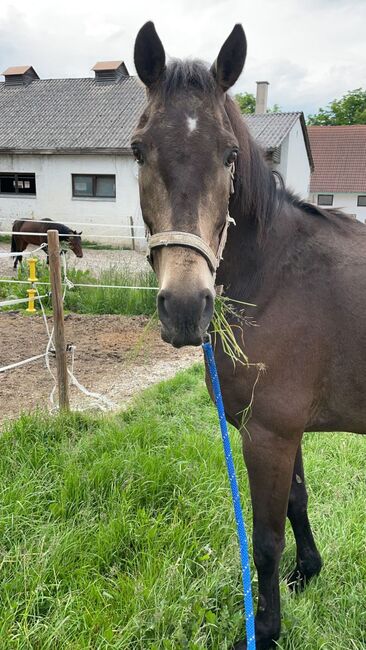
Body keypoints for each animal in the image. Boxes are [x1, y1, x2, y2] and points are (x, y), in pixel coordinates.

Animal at [132, 20, 366, 648]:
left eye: (231, 154)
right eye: (139, 149)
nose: (185, 307)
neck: (277, 277)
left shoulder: (268, 435)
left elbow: (264, 540)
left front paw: (266, 627)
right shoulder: (286, 432)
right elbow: (298, 503)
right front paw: (307, 574)